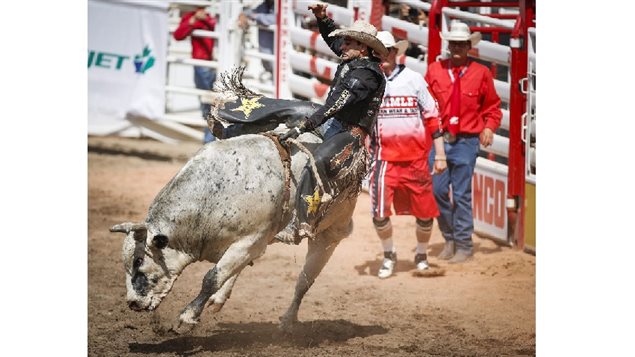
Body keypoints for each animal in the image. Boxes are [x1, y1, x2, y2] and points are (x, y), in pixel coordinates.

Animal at [112, 69, 366, 330]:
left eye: (139, 263)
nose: (132, 303)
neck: (211, 197)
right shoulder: (251, 243)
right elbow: (227, 271)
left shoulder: (249, 241)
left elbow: (212, 277)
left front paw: (187, 317)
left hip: (329, 235)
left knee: (304, 280)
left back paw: (288, 320)